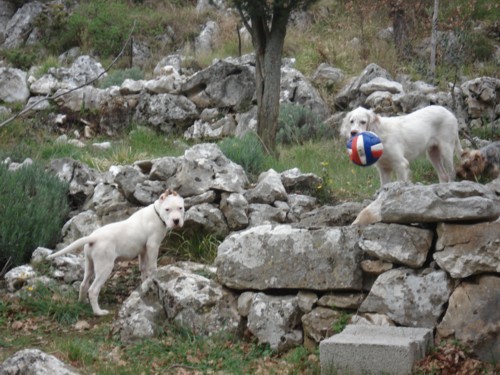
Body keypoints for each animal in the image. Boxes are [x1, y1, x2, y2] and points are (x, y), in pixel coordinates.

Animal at [47, 189, 185, 316]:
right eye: (167, 209)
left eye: (180, 208)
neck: (157, 214)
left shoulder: (143, 251)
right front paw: (152, 280)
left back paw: (82, 303)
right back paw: (98, 312)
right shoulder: (152, 246)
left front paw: (144, 286)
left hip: (89, 264)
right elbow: (152, 268)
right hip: (105, 267)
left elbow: (143, 269)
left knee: (83, 284)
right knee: (93, 290)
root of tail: (93, 237)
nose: (176, 220)